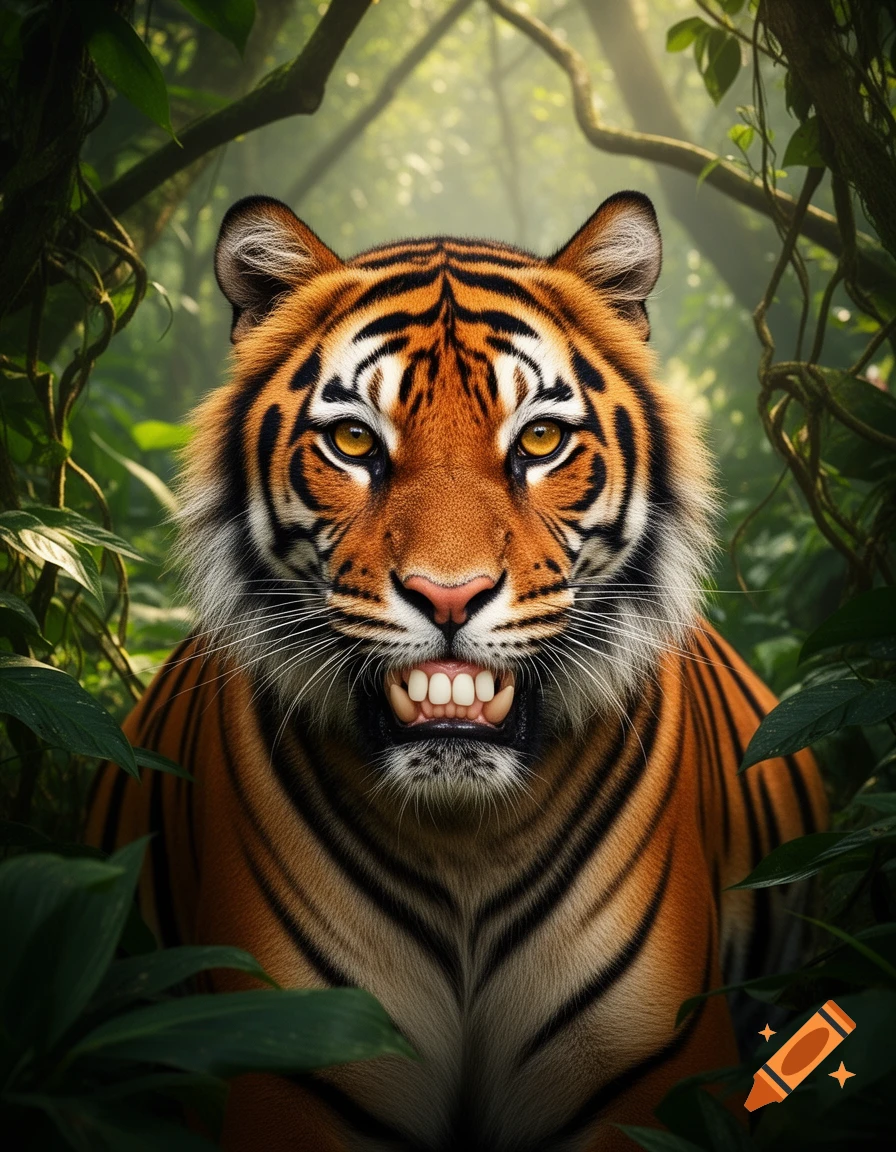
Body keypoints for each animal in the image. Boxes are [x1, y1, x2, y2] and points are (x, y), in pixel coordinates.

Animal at [88, 190, 826, 1152]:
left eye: (541, 439)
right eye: (354, 441)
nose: (449, 595)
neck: (463, 839)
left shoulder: (648, 1067)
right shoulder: (293, 1050)